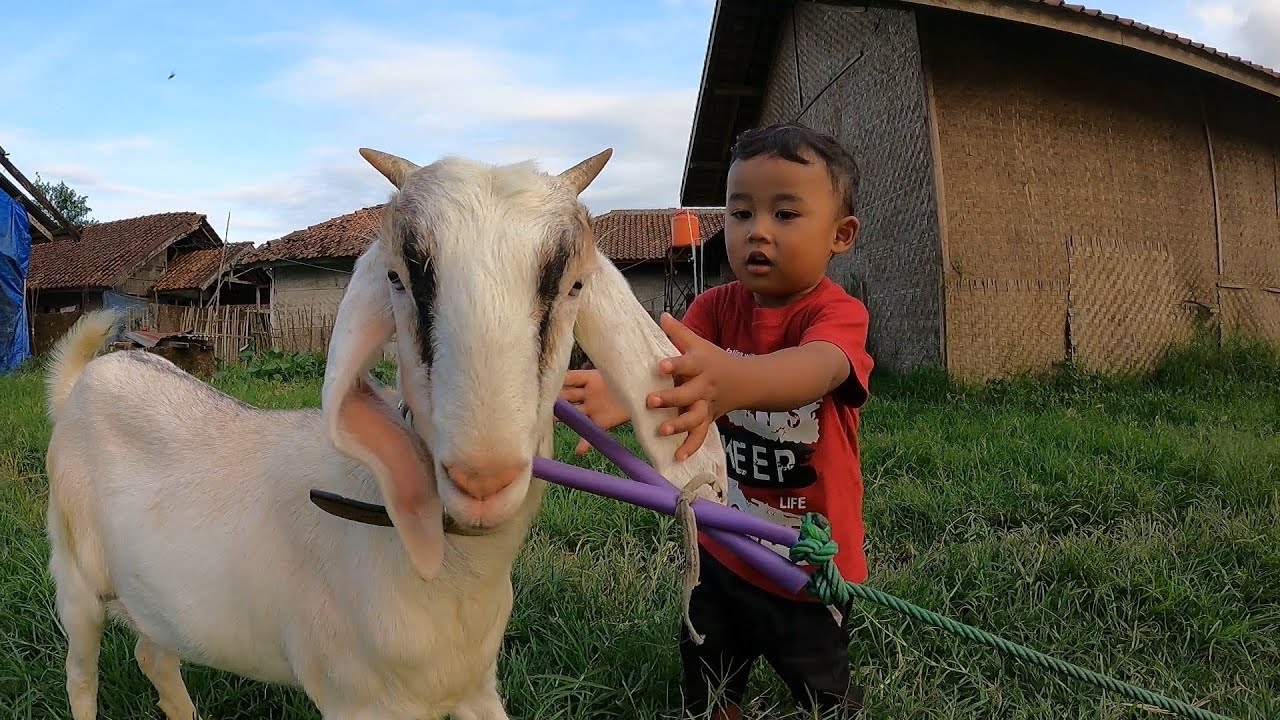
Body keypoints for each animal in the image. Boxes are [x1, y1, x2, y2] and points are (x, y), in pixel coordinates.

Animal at [43, 147, 728, 720]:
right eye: (400, 278)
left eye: (574, 285)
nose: (483, 476)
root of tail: (88, 377)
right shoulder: (359, 703)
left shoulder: (475, 687)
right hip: (75, 580)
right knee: (81, 675)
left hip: (157, 598)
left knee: (153, 653)